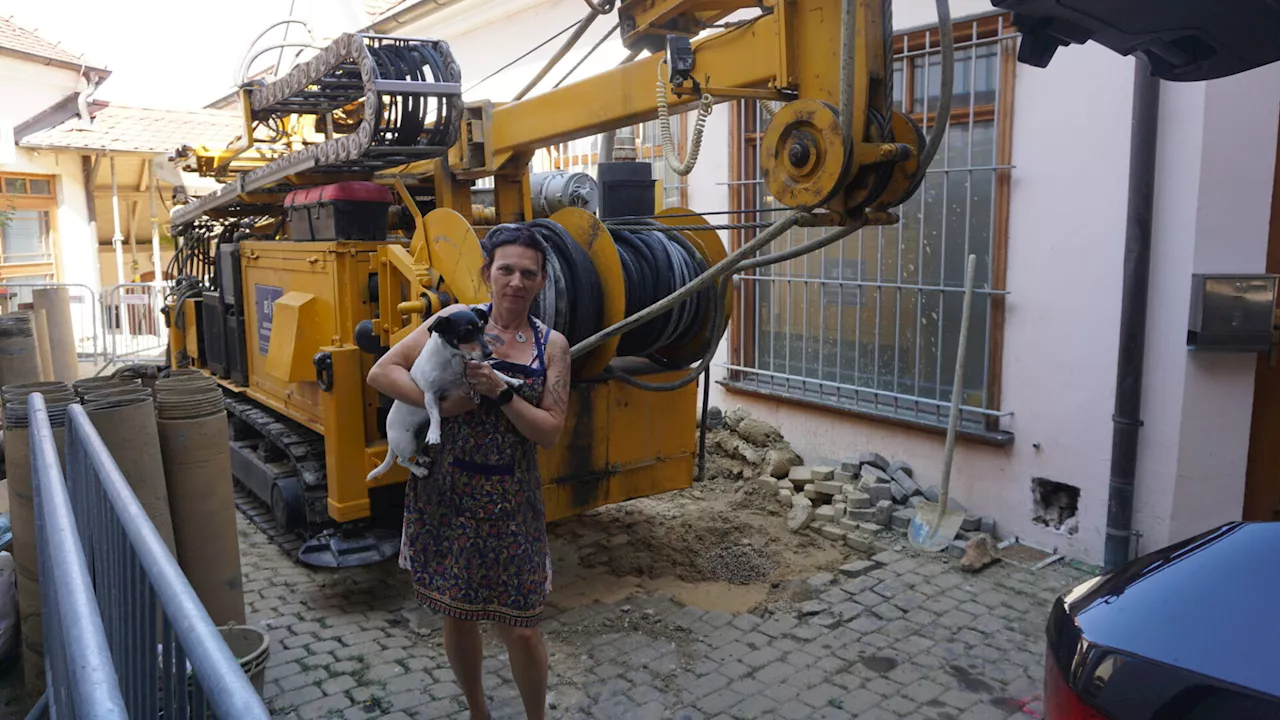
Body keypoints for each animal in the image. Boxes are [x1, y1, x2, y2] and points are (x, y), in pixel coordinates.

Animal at [368, 302, 522, 476]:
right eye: (465, 332)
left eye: (482, 329)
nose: (489, 353)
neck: (453, 358)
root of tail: (389, 438)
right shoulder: (430, 394)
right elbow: (435, 414)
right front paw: (435, 433)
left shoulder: (471, 373)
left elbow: (497, 374)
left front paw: (514, 381)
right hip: (406, 442)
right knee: (402, 460)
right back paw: (419, 470)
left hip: (416, 439)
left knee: (416, 451)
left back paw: (422, 458)